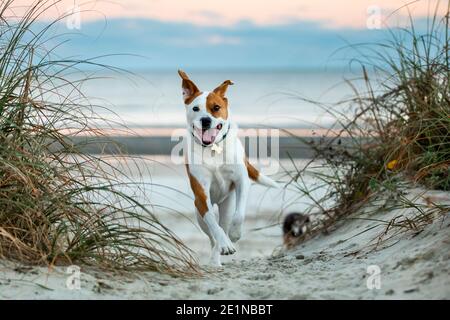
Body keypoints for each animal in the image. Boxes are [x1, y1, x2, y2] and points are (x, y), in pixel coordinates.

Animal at [177, 70, 278, 268]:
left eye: (216, 107)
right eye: (195, 109)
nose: (205, 120)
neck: (213, 147)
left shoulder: (241, 181)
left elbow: (239, 215)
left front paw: (235, 235)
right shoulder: (201, 194)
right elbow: (213, 225)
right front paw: (225, 244)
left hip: (227, 205)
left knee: (224, 222)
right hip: (199, 213)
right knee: (212, 234)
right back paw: (217, 257)